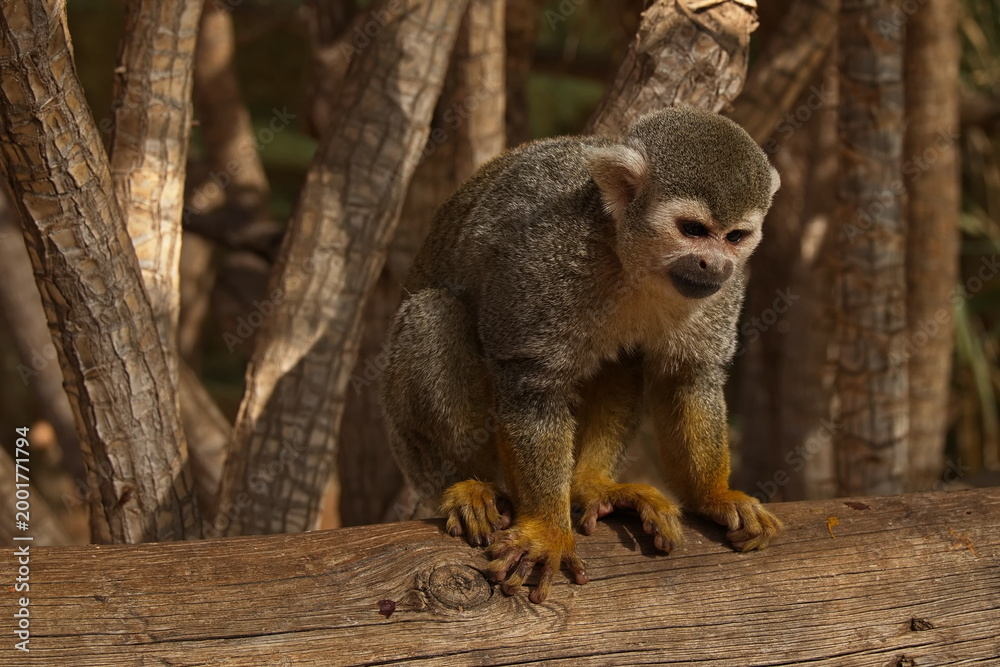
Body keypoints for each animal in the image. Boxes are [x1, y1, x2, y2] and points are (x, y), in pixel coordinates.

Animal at [381, 107, 783, 604]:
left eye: (735, 236)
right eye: (693, 230)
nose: (715, 264)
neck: (630, 258)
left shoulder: (723, 290)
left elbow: (687, 378)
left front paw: (713, 496)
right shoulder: (546, 256)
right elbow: (530, 382)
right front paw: (548, 531)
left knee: (623, 357)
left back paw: (589, 485)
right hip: (406, 440)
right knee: (435, 313)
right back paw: (467, 484)